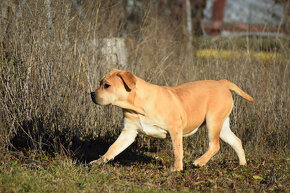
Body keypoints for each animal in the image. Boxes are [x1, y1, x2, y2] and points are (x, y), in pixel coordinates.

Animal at [89, 69, 254, 170]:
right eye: (100, 83)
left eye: (107, 85)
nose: (91, 94)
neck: (137, 106)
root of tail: (221, 82)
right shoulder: (128, 132)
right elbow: (113, 148)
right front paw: (98, 162)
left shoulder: (175, 129)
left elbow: (177, 150)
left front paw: (177, 169)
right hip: (222, 125)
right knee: (236, 141)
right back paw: (242, 164)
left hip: (213, 121)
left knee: (215, 146)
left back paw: (198, 162)